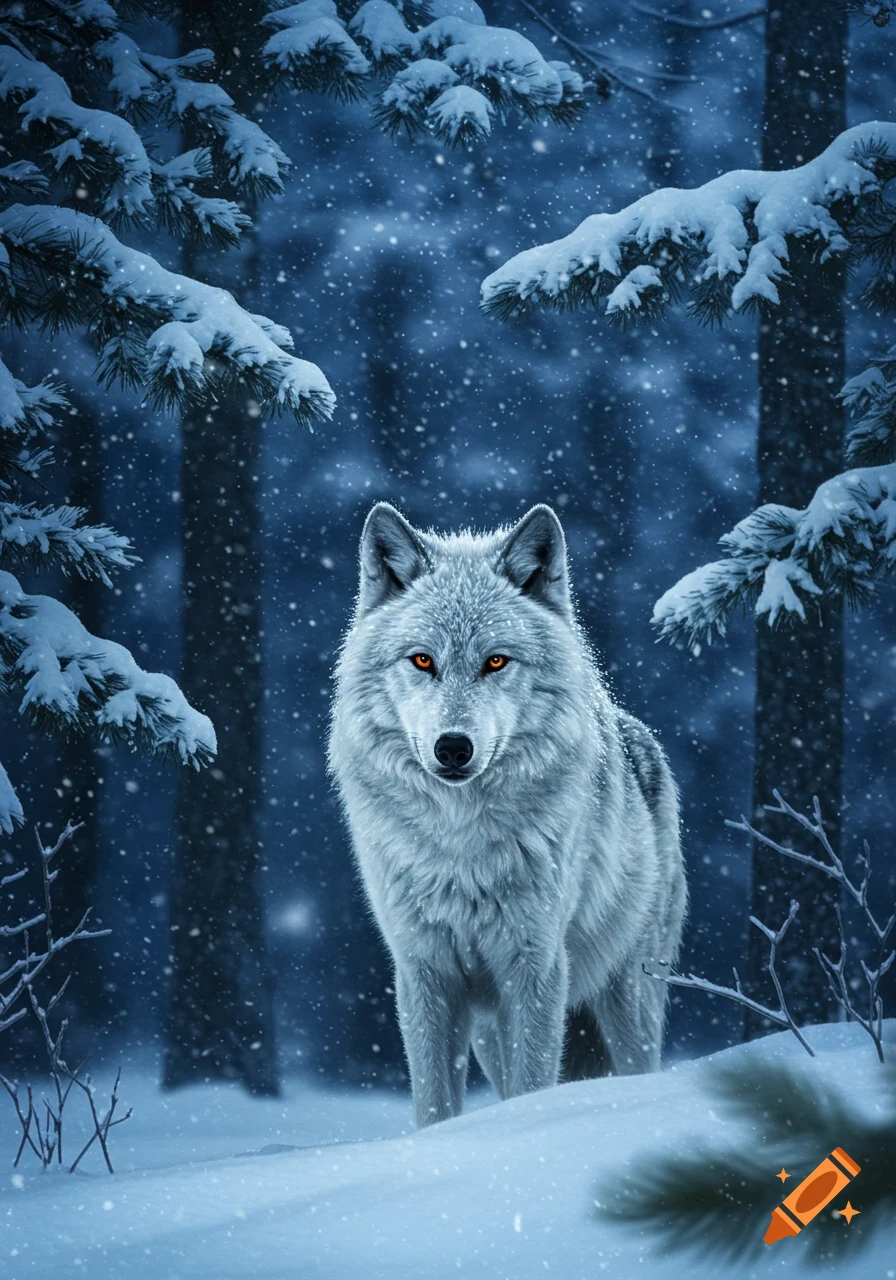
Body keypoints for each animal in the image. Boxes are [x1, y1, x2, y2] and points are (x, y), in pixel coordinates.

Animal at [328, 502, 687, 1128]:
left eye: (495, 661)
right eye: (422, 660)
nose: (453, 747)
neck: (459, 848)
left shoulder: (535, 969)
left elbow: (533, 1086)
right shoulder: (424, 973)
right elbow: (434, 1105)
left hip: (629, 997)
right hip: (488, 1031)